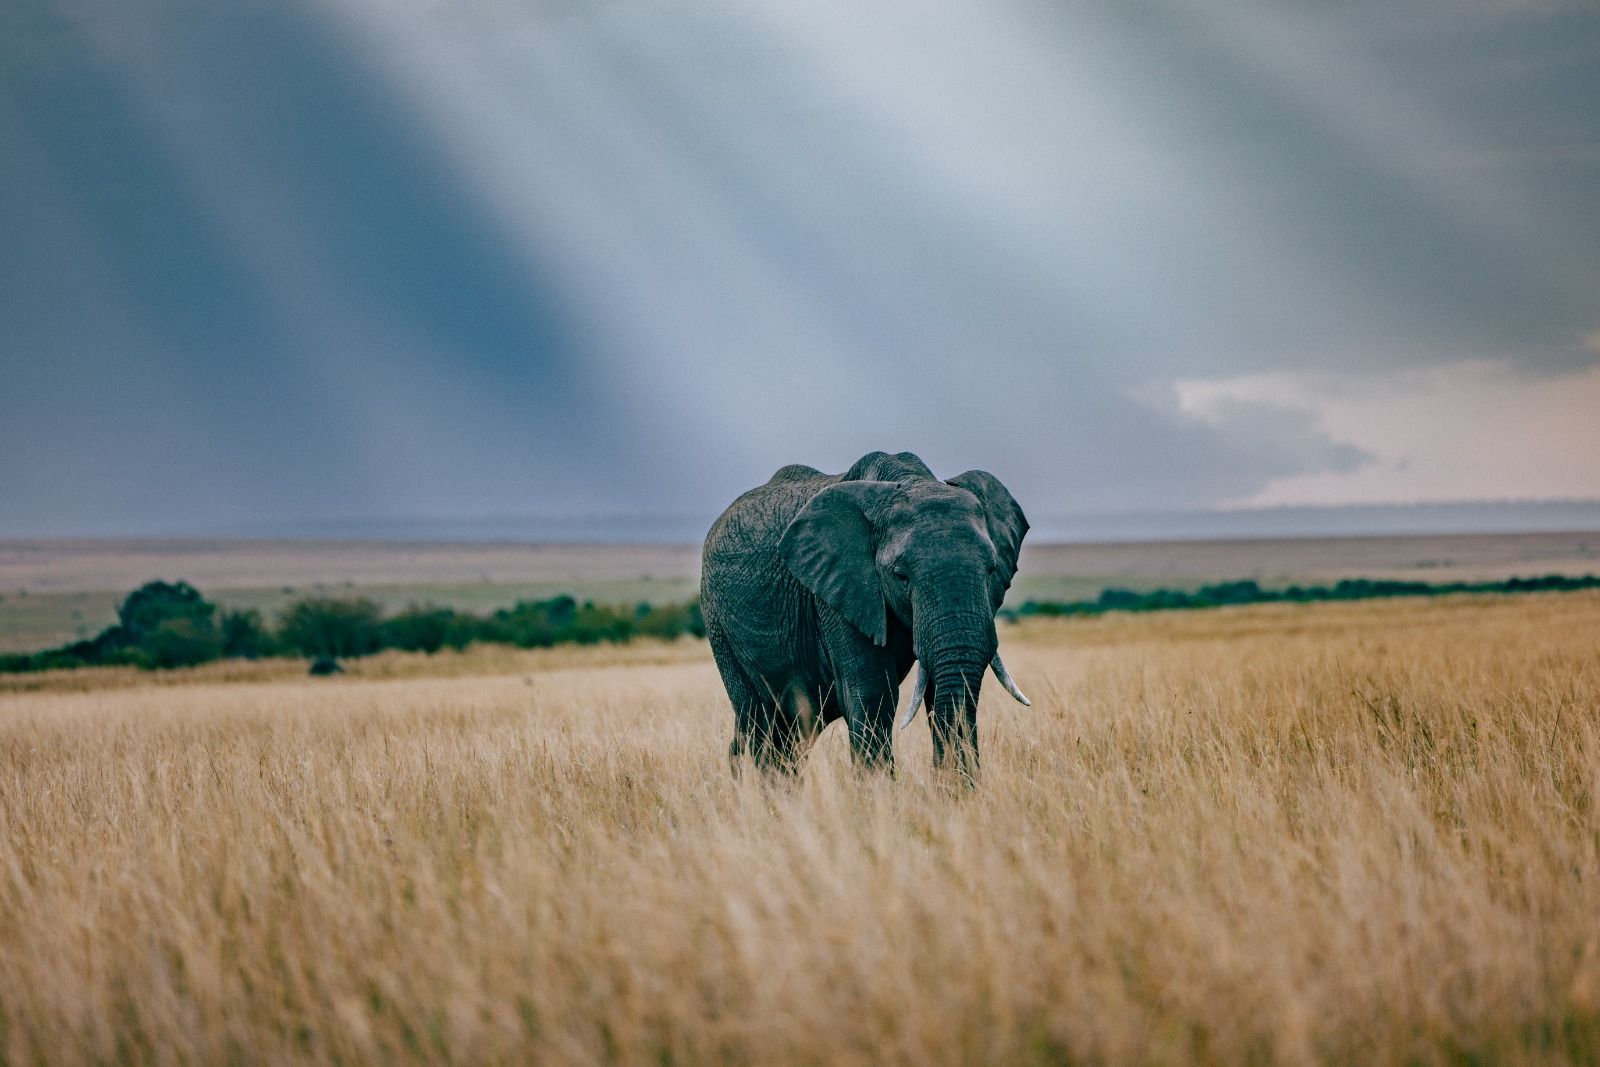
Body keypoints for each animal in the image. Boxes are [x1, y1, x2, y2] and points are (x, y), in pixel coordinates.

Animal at [700, 450, 1030, 779]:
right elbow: (873, 693)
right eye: (900, 575)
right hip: (719, 625)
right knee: (759, 721)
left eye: (991, 569)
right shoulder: (838, 592)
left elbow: (938, 685)